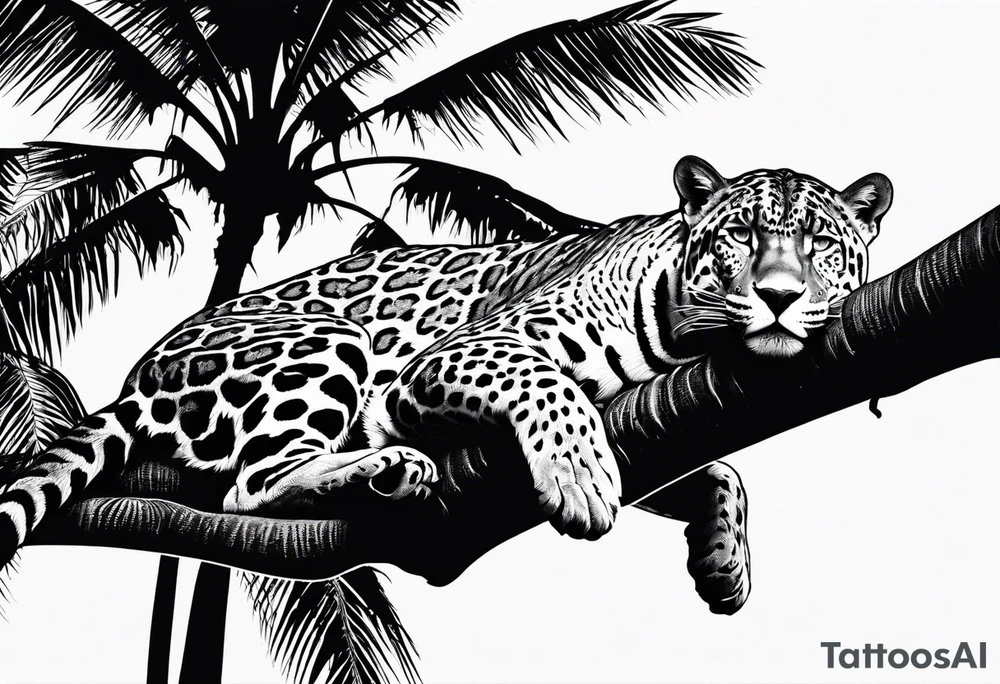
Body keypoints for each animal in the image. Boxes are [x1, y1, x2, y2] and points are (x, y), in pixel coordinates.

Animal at [0, 156, 892, 612]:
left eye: (820, 245)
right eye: (740, 235)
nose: (780, 295)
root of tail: (141, 369)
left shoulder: (654, 420)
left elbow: (716, 469)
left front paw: (724, 559)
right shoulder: (457, 357)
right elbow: (547, 385)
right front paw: (579, 479)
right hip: (330, 342)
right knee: (252, 487)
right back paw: (384, 467)